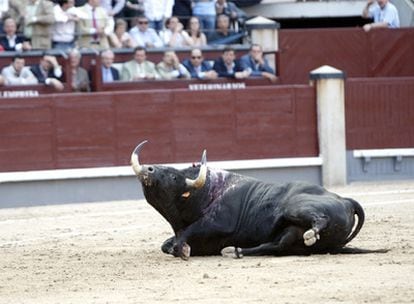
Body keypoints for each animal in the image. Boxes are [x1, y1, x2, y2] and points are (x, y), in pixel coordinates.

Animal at [130, 141, 384, 260]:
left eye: (173, 176)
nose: (149, 169)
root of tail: (346, 200)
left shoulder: (218, 222)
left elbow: (183, 237)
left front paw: (182, 250)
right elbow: (167, 244)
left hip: (296, 208)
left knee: (316, 220)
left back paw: (311, 232)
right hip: (291, 234)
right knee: (278, 245)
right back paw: (235, 251)